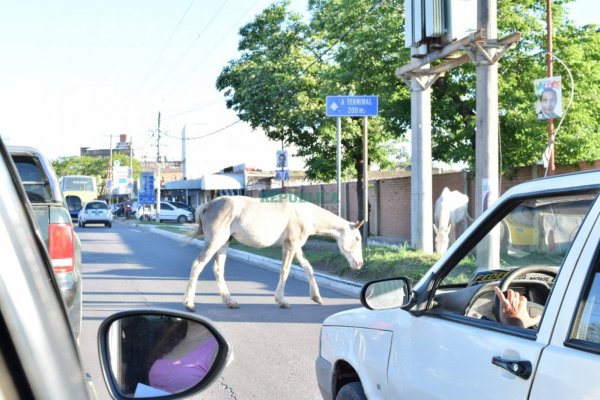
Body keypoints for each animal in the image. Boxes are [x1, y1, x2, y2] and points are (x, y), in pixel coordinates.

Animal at [180, 195, 364, 310]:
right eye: (357, 238)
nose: (359, 263)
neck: (304, 213)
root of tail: (208, 205)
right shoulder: (290, 246)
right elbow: (285, 270)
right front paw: (281, 300)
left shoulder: (296, 247)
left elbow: (308, 268)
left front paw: (316, 297)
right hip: (215, 242)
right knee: (197, 265)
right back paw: (189, 303)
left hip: (224, 243)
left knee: (218, 270)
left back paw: (230, 301)